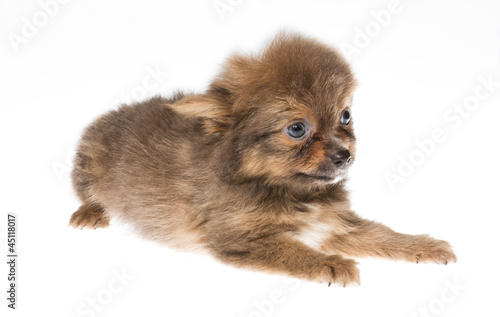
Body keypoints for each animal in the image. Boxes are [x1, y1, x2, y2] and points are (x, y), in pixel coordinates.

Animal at [70, 33, 458, 286]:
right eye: (297, 129)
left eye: (345, 116)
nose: (344, 155)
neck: (288, 190)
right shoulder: (242, 238)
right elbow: (291, 250)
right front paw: (331, 264)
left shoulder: (334, 224)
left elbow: (381, 234)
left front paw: (423, 246)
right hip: (88, 164)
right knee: (87, 193)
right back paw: (90, 213)